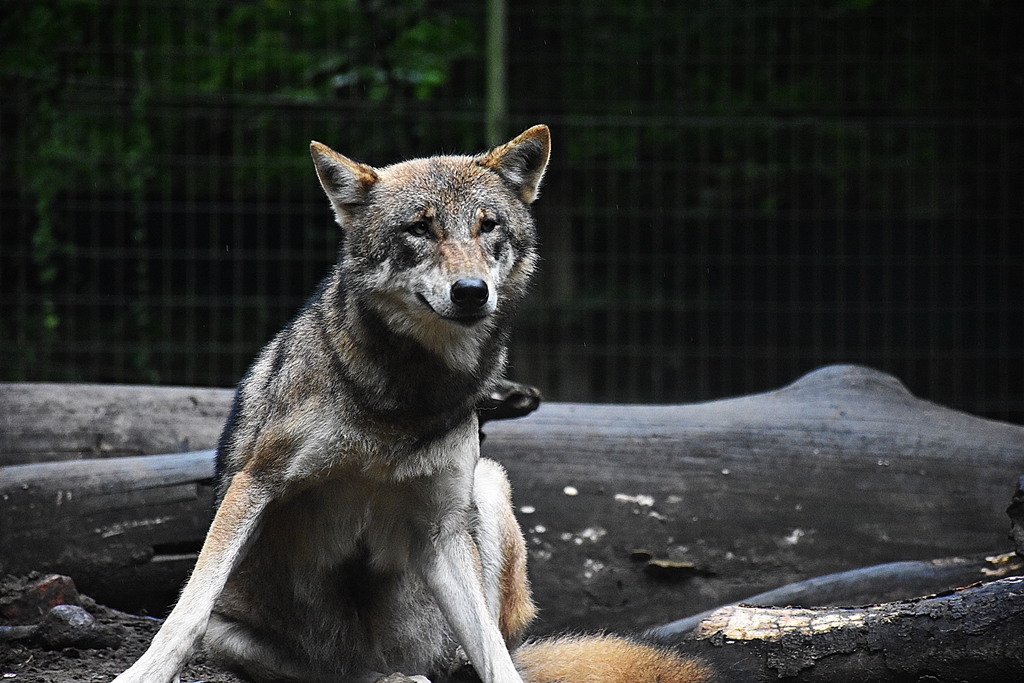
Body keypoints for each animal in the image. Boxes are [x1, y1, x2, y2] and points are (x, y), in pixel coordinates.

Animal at [113, 126, 713, 683]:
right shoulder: (257, 483)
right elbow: (187, 611)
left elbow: (492, 652)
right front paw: (144, 672)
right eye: (420, 229)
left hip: (486, 489)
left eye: (487, 226)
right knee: (333, 670)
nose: (471, 291)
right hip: (261, 639)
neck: (407, 397)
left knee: (487, 650)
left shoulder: (441, 527)